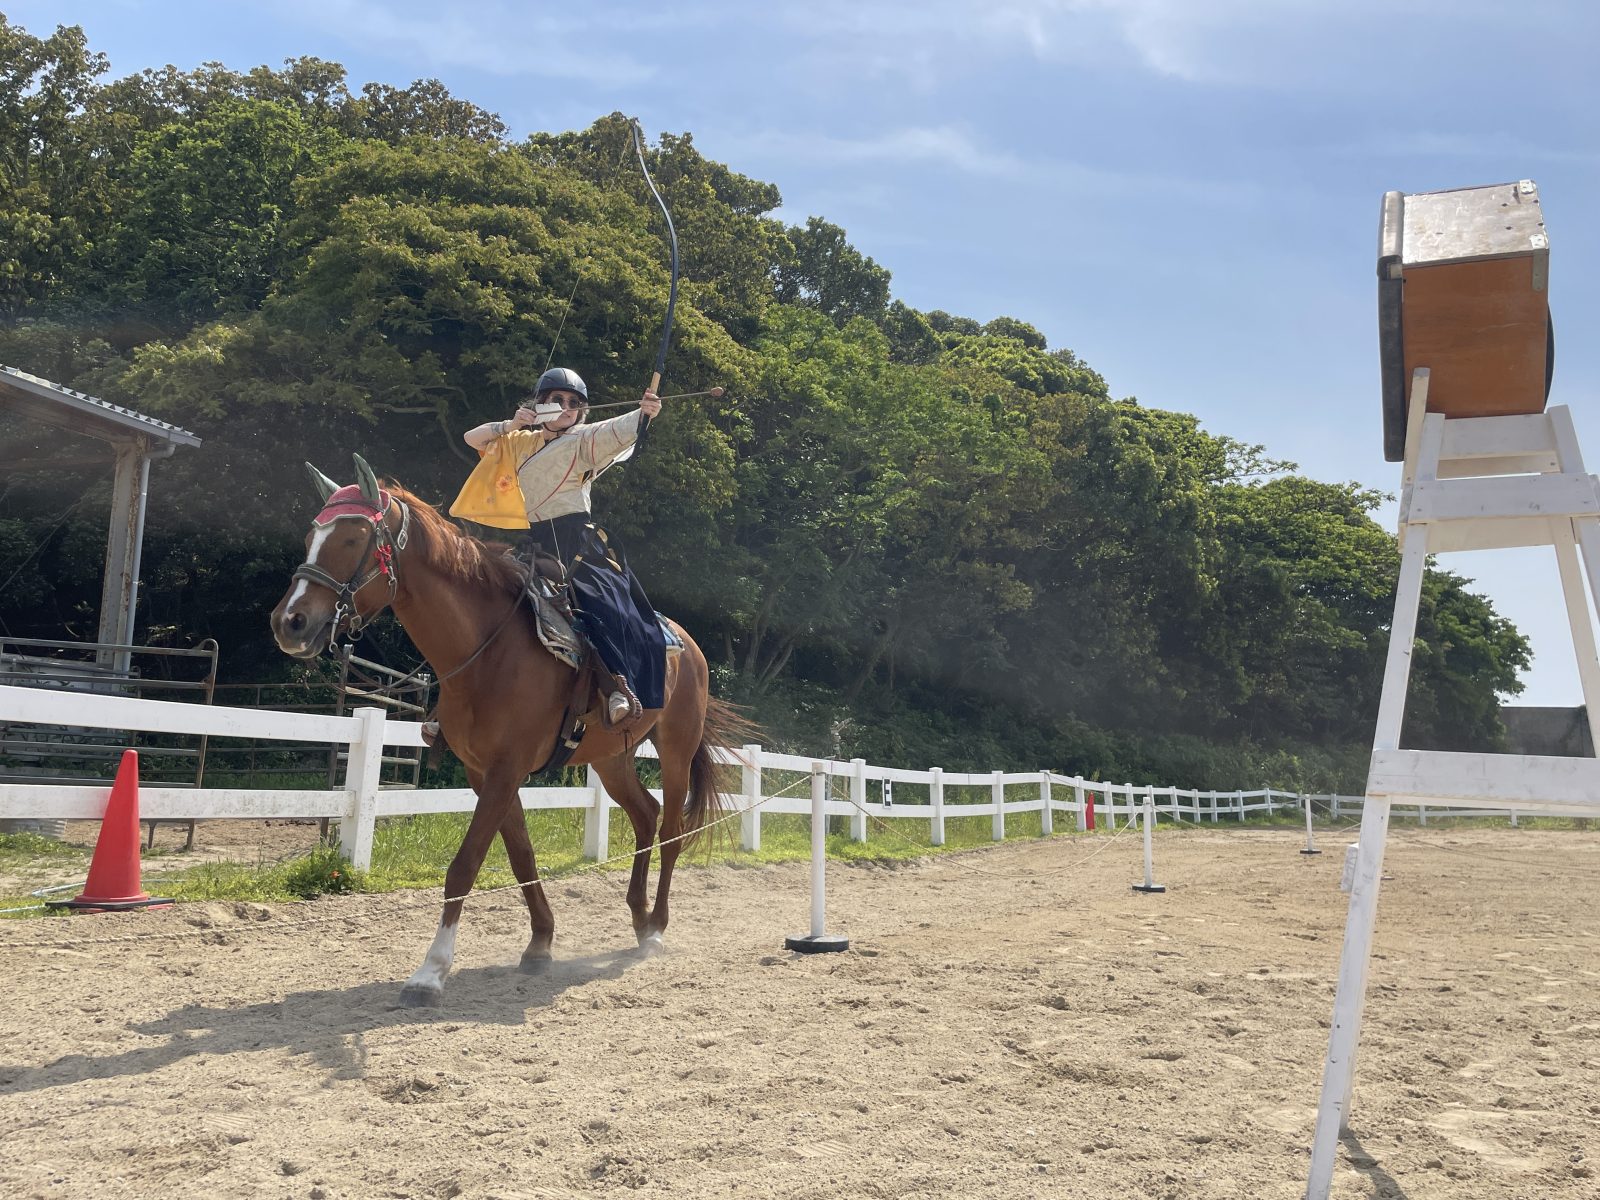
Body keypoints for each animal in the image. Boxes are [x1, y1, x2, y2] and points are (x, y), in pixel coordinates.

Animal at [270, 454, 748, 1011]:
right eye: (311, 536)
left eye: (352, 538)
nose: (289, 622)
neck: (486, 649)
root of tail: (687, 646)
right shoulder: (486, 772)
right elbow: (520, 854)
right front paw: (541, 942)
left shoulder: (506, 769)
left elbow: (465, 864)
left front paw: (430, 972)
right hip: (610, 759)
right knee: (646, 817)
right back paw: (636, 916)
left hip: (675, 749)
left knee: (671, 830)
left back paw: (655, 929)